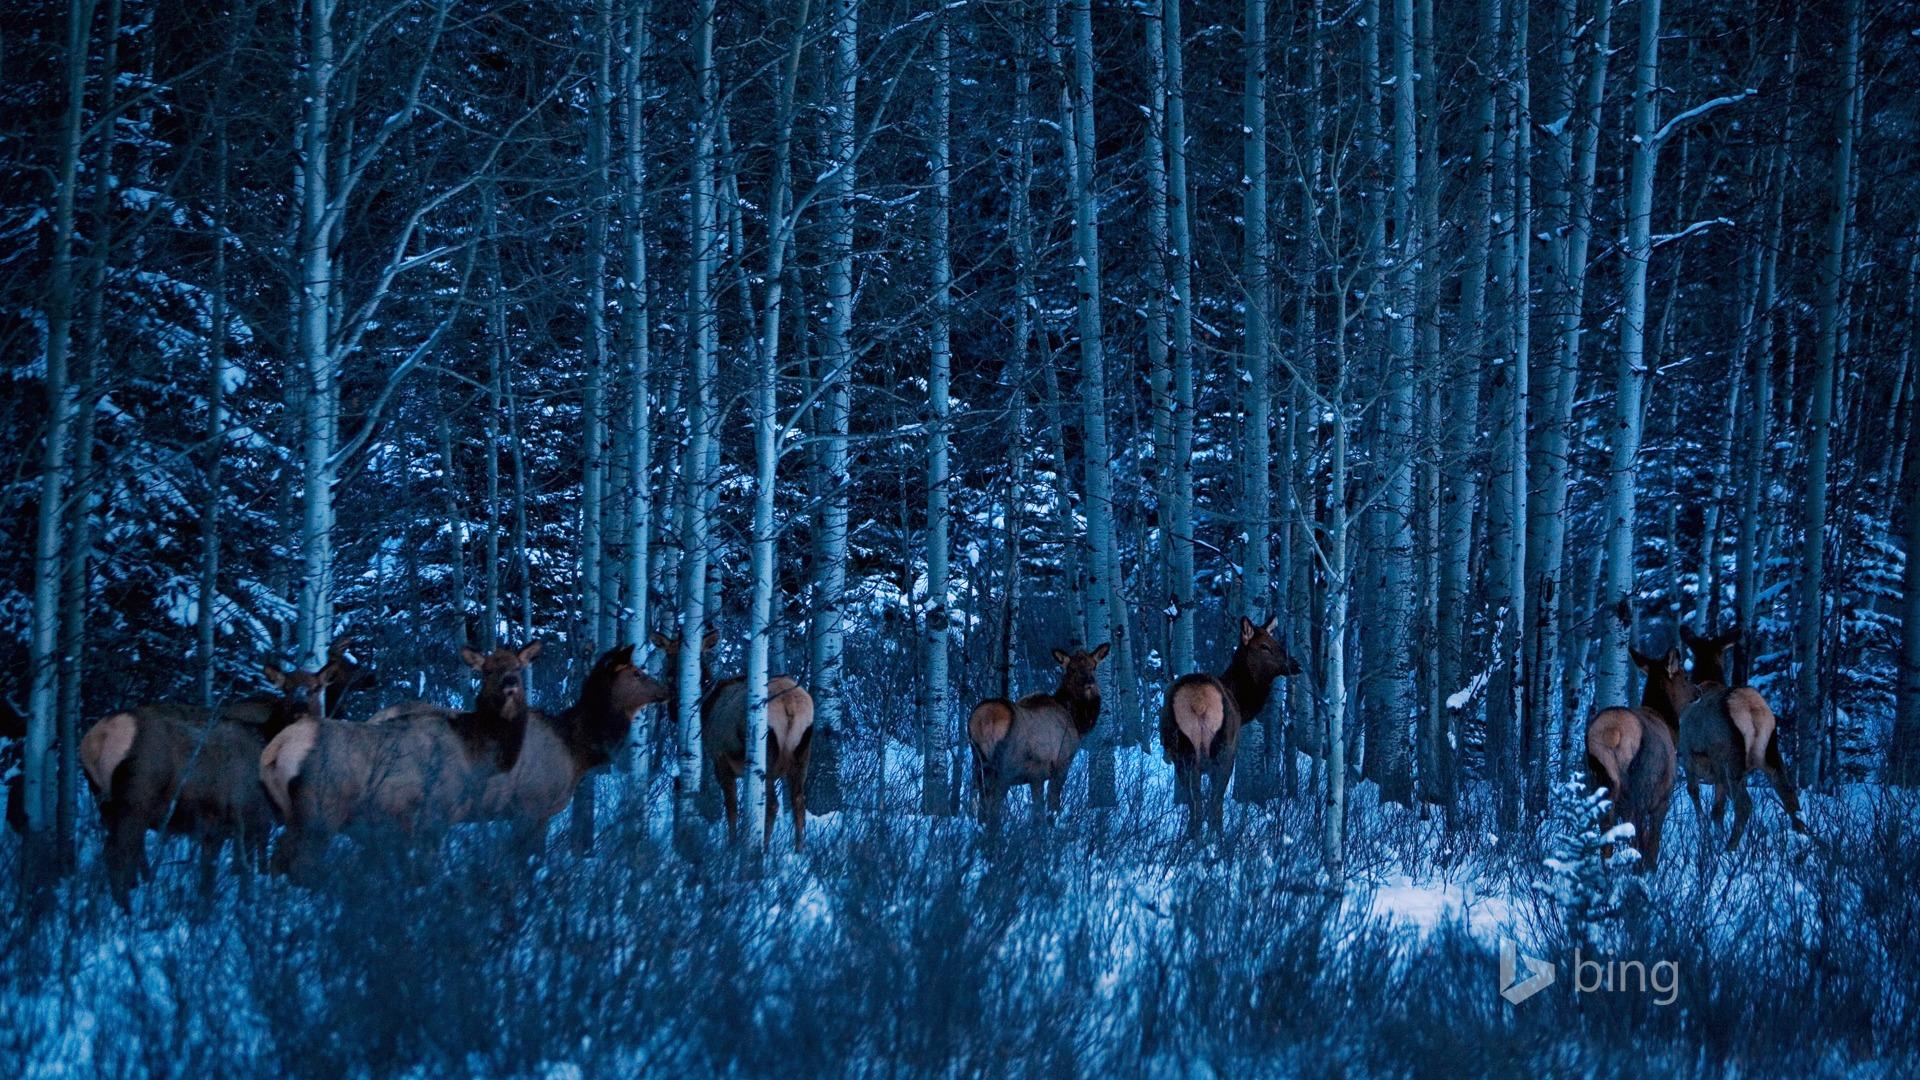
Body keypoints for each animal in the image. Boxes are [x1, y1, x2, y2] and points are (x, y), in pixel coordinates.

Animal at [78, 657, 343, 907]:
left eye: (316, 688)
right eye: (287, 688)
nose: (300, 707)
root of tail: (99, 737)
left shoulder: (219, 823)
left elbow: (213, 874)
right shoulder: (251, 814)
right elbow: (246, 869)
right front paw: (247, 901)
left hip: (105, 803)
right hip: (135, 799)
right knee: (117, 855)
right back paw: (128, 910)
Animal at [259, 642, 540, 880]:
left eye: (518, 666)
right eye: (488, 670)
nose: (511, 683)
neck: (475, 752)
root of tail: (274, 750)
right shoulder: (434, 814)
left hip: (287, 812)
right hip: (319, 812)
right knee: (297, 863)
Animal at [1161, 616, 1302, 839]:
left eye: (1276, 641)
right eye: (1264, 646)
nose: (1296, 665)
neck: (1242, 706)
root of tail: (1198, 700)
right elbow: (1216, 800)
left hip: (1181, 751)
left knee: (1194, 801)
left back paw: (1191, 839)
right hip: (1222, 748)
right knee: (1213, 801)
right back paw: (1214, 840)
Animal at [1583, 647, 1700, 872]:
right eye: (1685, 676)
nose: (1698, 691)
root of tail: (1610, 732)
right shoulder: (1662, 798)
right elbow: (1653, 842)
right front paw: (1651, 871)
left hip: (1598, 783)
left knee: (1607, 838)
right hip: (1639, 787)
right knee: (1635, 835)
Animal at [1673, 622, 1809, 849]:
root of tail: (1751, 707)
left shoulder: (1688, 757)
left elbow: (1696, 796)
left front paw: (1705, 836)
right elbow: (1717, 811)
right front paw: (1715, 837)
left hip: (1727, 757)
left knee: (1744, 804)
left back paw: (1730, 848)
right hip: (1770, 751)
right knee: (1789, 795)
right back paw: (1802, 839)